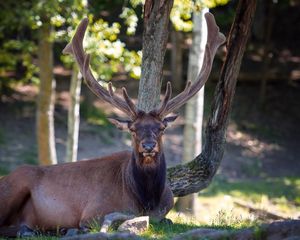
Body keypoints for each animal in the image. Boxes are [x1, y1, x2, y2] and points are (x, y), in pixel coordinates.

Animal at [0, 12, 225, 236]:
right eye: (133, 129)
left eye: (161, 128)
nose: (148, 146)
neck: (146, 200)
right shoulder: (93, 211)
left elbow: (166, 220)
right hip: (16, 183)